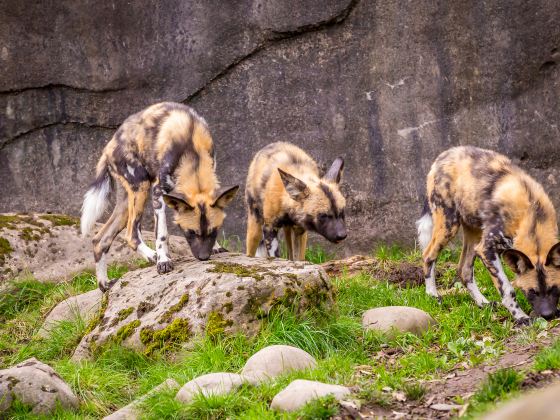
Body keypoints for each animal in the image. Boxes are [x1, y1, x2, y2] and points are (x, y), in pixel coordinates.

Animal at [80, 103, 237, 290]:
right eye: (190, 232)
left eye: (214, 231)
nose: (204, 257)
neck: (192, 151)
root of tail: (108, 147)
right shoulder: (158, 192)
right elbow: (162, 234)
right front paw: (164, 260)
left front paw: (216, 247)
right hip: (141, 187)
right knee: (131, 235)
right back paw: (153, 256)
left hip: (125, 203)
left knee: (100, 240)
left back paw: (104, 285)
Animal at [416, 146, 560, 324]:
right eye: (532, 292)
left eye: (555, 289)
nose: (548, 315)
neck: (533, 216)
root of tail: (445, 154)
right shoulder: (486, 249)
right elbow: (507, 289)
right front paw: (521, 318)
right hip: (449, 225)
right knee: (428, 256)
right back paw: (433, 295)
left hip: (474, 233)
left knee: (464, 271)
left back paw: (483, 304)